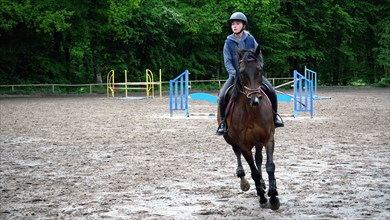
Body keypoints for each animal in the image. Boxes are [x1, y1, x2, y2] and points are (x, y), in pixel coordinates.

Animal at [219, 45, 280, 211]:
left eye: (260, 69)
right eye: (241, 72)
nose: (255, 99)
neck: (252, 112)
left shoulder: (268, 137)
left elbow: (269, 166)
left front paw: (273, 197)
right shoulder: (244, 144)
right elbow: (253, 172)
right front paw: (263, 198)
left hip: (258, 141)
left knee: (259, 158)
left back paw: (263, 184)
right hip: (230, 139)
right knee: (237, 153)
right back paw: (243, 179)